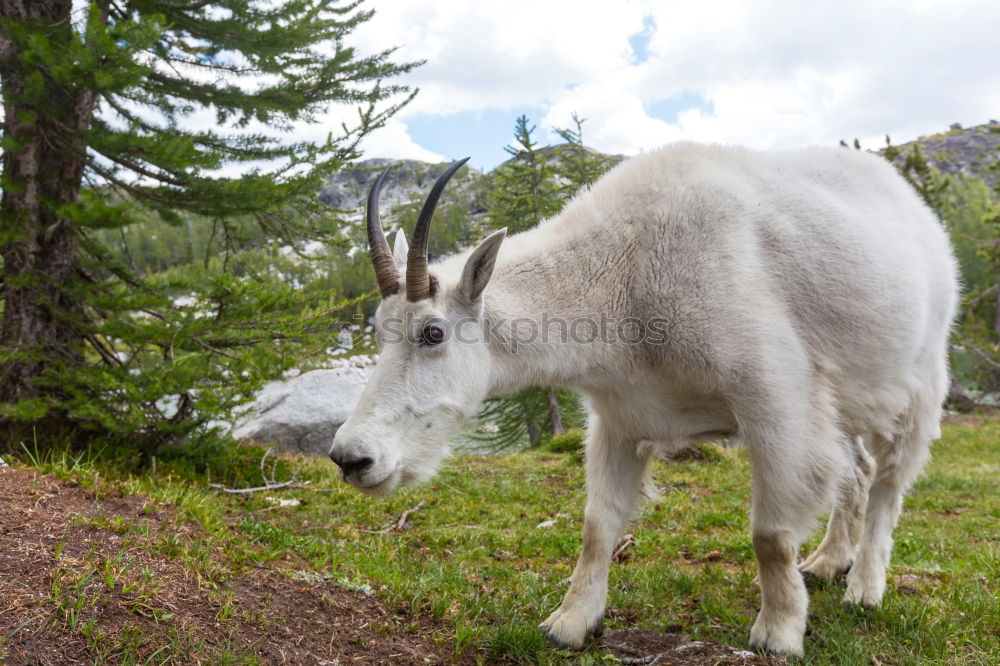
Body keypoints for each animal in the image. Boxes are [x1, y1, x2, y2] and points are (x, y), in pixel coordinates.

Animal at [330, 143, 960, 656]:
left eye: (433, 333)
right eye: (378, 331)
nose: (350, 458)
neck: (622, 278)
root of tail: (918, 211)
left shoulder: (776, 401)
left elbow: (770, 535)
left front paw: (779, 633)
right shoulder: (620, 419)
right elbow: (597, 526)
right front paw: (569, 624)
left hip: (921, 378)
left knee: (888, 482)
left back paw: (865, 586)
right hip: (845, 402)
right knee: (858, 470)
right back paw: (830, 561)